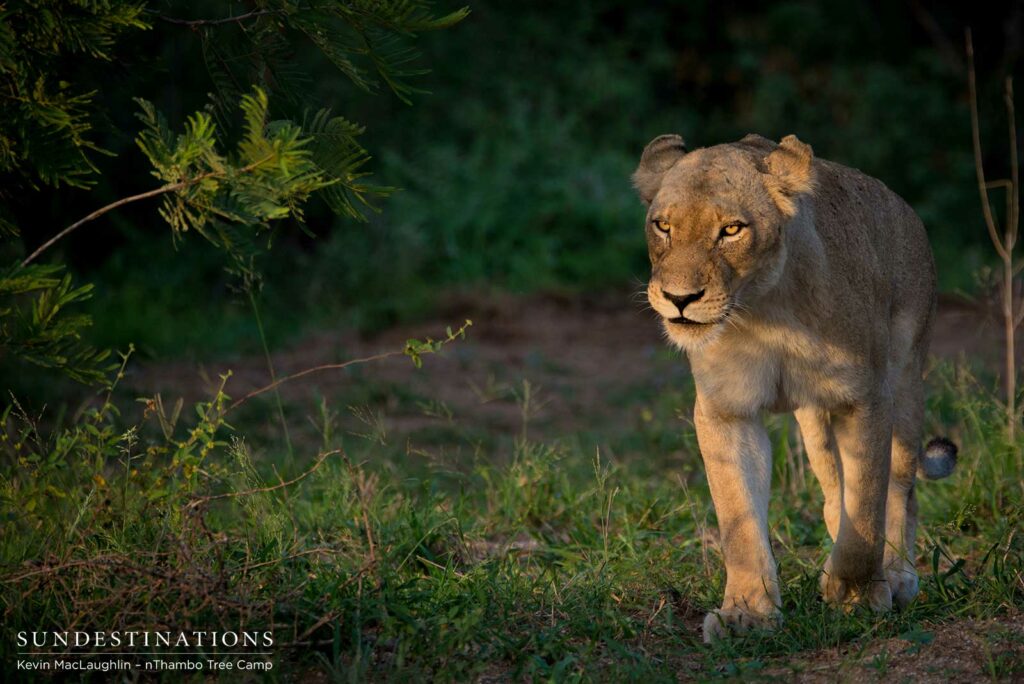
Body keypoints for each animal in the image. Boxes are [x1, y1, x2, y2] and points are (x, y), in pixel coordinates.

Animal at [633, 133, 958, 642]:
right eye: (663, 226)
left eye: (731, 230)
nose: (679, 299)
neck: (763, 308)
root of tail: (905, 208)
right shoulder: (727, 410)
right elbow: (740, 519)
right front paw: (747, 614)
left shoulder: (864, 398)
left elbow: (867, 506)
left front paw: (857, 598)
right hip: (815, 423)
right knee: (834, 493)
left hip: (906, 379)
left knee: (901, 488)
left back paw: (897, 576)